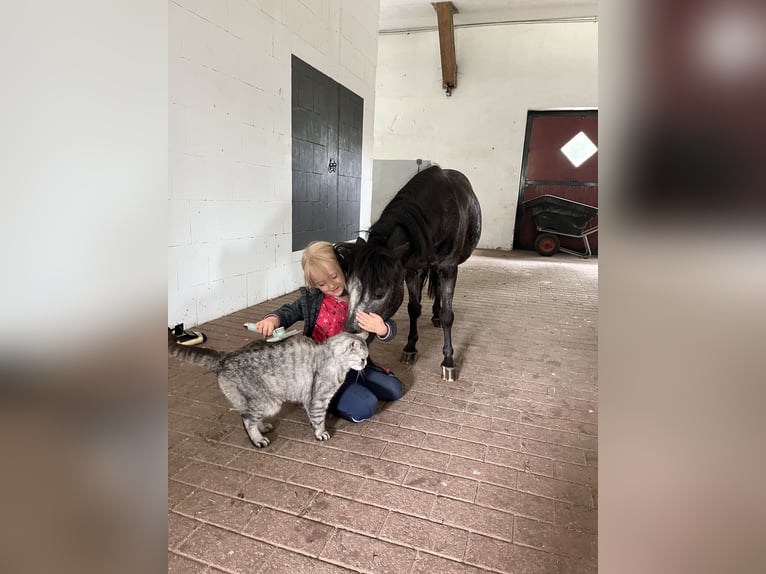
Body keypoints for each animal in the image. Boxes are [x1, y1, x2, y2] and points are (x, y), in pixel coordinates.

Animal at [338, 165, 482, 381]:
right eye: (349, 287)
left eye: (380, 293)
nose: (351, 334)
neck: (439, 211)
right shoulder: (412, 270)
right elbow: (413, 308)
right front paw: (410, 347)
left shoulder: (449, 268)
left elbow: (448, 315)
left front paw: (448, 361)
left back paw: (437, 316)